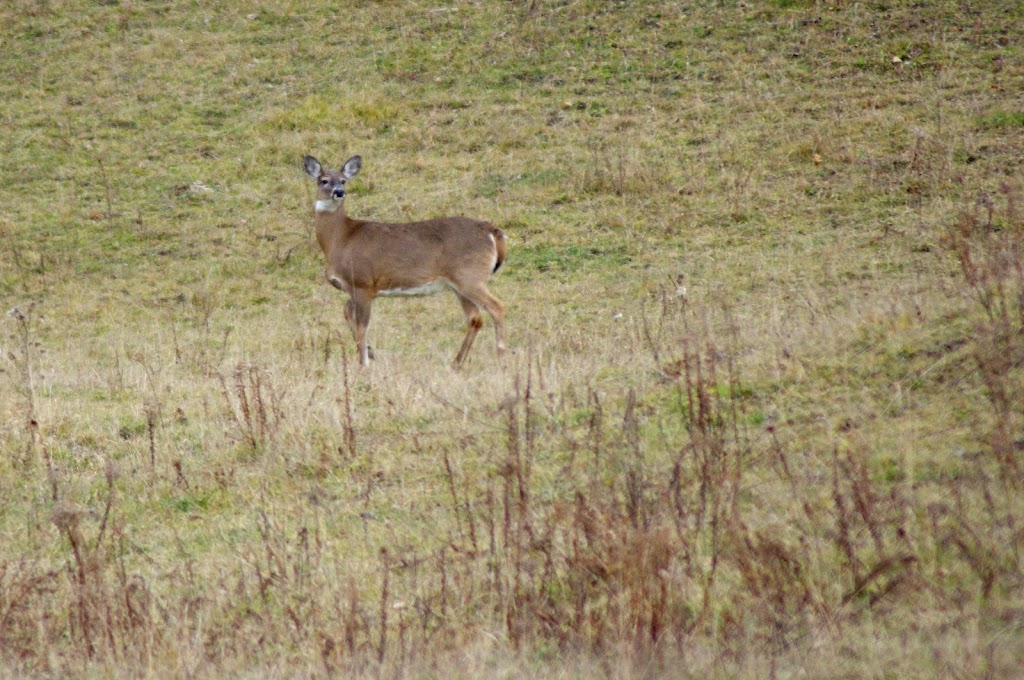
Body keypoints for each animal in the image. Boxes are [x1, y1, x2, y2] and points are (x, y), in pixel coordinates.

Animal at [303, 155, 512, 366]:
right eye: (324, 180)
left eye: (343, 180)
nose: (339, 192)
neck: (340, 238)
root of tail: (492, 231)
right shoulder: (356, 288)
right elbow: (346, 312)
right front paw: (370, 352)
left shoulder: (363, 283)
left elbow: (362, 325)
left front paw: (364, 363)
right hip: (459, 284)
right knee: (475, 318)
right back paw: (457, 363)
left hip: (469, 275)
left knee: (497, 306)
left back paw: (502, 358)